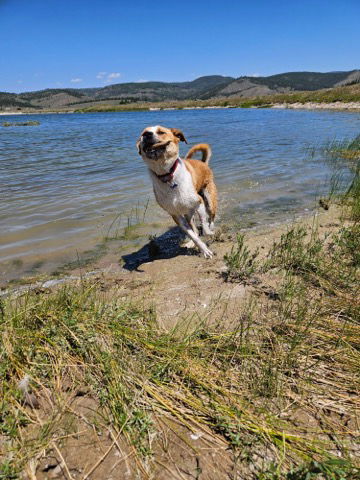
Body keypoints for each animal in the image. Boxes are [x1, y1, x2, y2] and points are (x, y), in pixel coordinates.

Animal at [137, 125, 217, 256]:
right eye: (143, 134)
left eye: (161, 132)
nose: (147, 135)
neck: (168, 176)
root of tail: (203, 163)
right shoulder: (176, 215)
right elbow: (192, 234)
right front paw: (203, 249)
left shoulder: (199, 202)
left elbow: (204, 223)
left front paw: (208, 233)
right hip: (188, 213)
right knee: (194, 228)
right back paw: (191, 242)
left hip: (209, 199)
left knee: (210, 215)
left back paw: (211, 228)